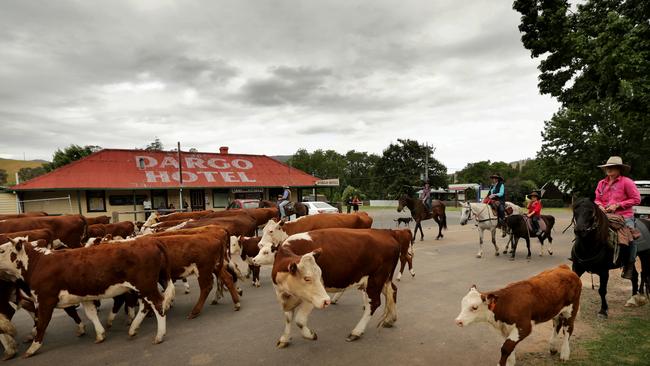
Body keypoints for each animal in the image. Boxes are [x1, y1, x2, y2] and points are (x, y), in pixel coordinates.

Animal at [0, 236, 175, 356]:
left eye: (2, 250)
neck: (38, 263)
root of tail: (149, 240)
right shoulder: (83, 296)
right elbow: (91, 315)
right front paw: (100, 334)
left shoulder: (45, 300)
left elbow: (41, 323)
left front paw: (32, 348)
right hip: (142, 288)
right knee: (146, 305)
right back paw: (133, 329)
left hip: (146, 285)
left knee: (158, 304)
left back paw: (159, 335)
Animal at [270, 227, 400, 348]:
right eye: (307, 278)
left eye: (320, 275)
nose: (326, 301)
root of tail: (385, 232)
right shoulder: (283, 294)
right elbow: (288, 318)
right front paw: (285, 339)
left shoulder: (312, 297)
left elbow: (300, 321)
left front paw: (310, 335)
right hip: (382, 279)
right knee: (392, 290)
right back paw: (390, 319)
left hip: (375, 279)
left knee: (373, 304)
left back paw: (356, 332)